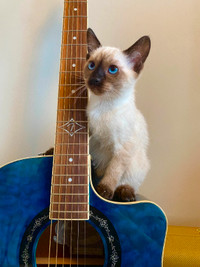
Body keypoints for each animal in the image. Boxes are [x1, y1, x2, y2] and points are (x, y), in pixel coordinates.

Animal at [83, 28, 151, 202]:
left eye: (112, 69)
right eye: (91, 65)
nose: (94, 80)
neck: (103, 106)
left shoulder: (122, 148)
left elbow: (113, 171)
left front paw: (103, 192)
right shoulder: (89, 131)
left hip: (136, 163)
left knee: (127, 182)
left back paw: (125, 194)